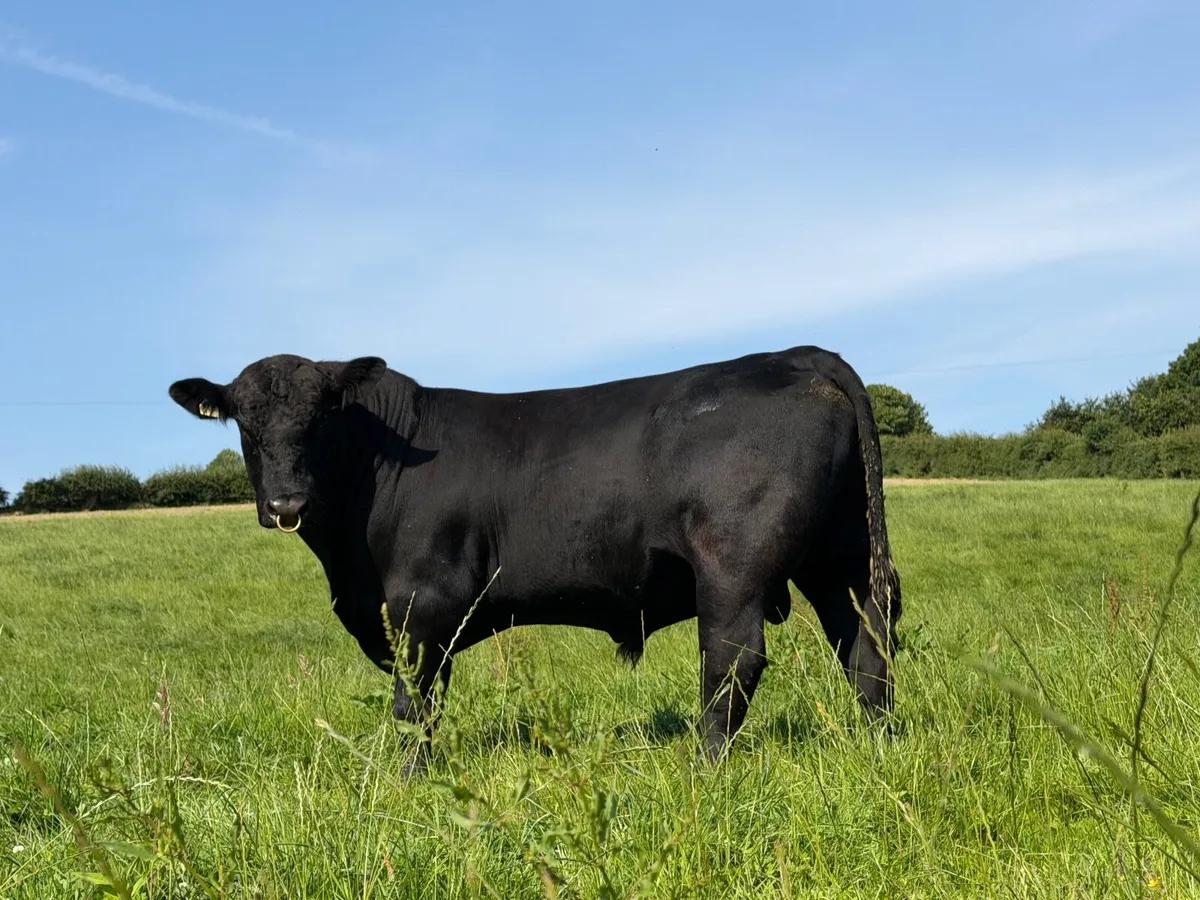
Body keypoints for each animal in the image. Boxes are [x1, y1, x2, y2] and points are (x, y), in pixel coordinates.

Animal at [168, 345, 902, 765]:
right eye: (244, 421)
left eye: (321, 414)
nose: (286, 503)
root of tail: (796, 354)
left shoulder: (420, 603)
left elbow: (414, 699)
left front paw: (409, 780)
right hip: (839, 558)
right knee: (866, 647)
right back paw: (879, 747)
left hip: (734, 567)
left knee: (732, 661)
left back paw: (705, 766)